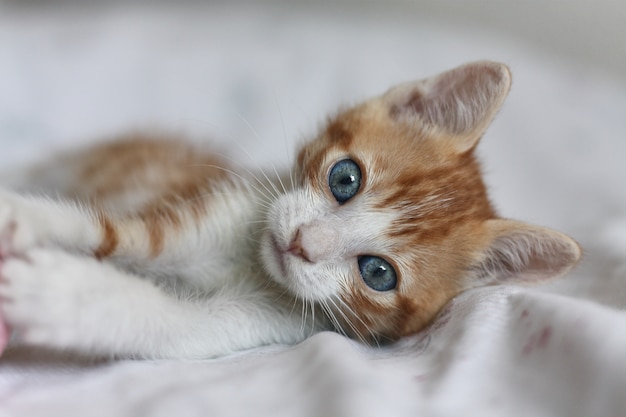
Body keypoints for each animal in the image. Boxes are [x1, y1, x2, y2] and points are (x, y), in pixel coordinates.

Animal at [0, 61, 580, 358]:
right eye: (345, 179)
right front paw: (25, 219)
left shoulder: (273, 322)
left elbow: (178, 326)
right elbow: (109, 230)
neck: (253, 263)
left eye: (378, 273)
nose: (303, 243)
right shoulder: (209, 209)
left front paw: (63, 297)